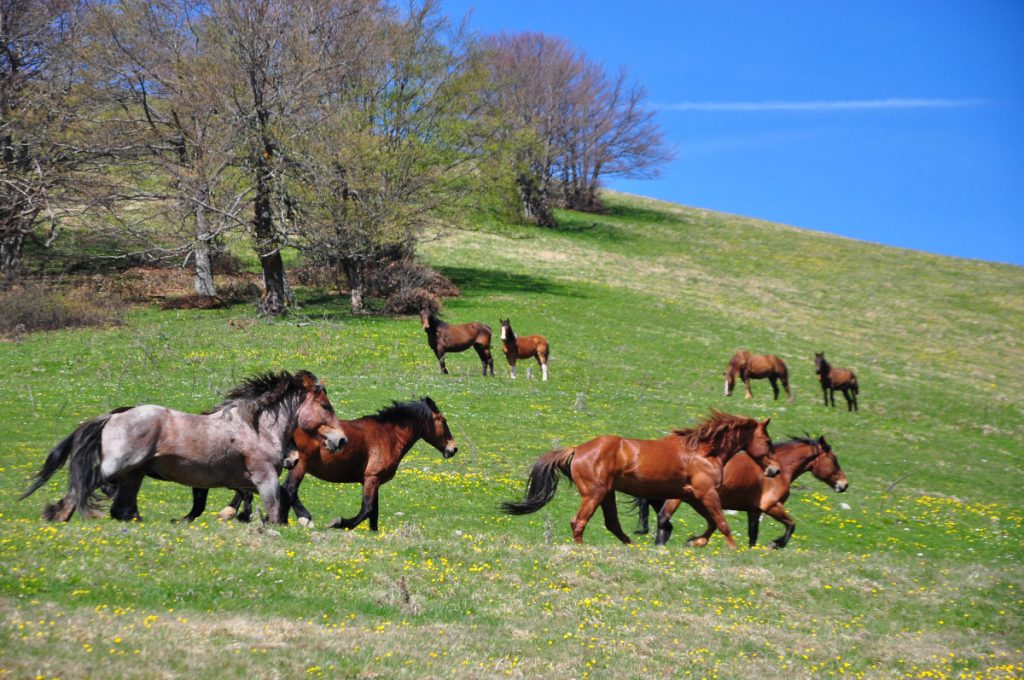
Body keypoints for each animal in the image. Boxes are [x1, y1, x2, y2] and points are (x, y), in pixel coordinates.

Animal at [21, 370, 347, 524]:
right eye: (326, 406)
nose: (341, 440)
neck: (256, 427)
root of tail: (112, 416)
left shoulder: (245, 483)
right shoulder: (263, 477)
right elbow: (276, 508)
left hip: (133, 476)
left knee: (121, 509)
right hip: (114, 468)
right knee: (78, 491)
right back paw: (57, 518)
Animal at [196, 397, 457, 531]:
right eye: (443, 421)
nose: (453, 448)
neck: (387, 435)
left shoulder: (373, 481)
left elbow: (374, 512)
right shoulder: (371, 478)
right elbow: (367, 509)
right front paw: (340, 523)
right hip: (299, 464)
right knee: (289, 489)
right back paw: (301, 518)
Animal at [501, 411, 779, 548]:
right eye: (767, 441)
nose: (775, 470)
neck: (704, 451)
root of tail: (577, 449)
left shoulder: (693, 496)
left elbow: (711, 522)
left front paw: (695, 542)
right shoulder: (706, 493)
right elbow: (721, 523)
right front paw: (734, 549)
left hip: (607, 494)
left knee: (612, 523)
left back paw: (631, 545)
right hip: (595, 493)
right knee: (579, 522)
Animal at [633, 435, 848, 548]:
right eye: (834, 460)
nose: (844, 485)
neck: (780, 469)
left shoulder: (754, 511)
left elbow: (753, 535)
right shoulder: (771, 506)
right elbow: (791, 525)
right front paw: (776, 544)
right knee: (665, 518)